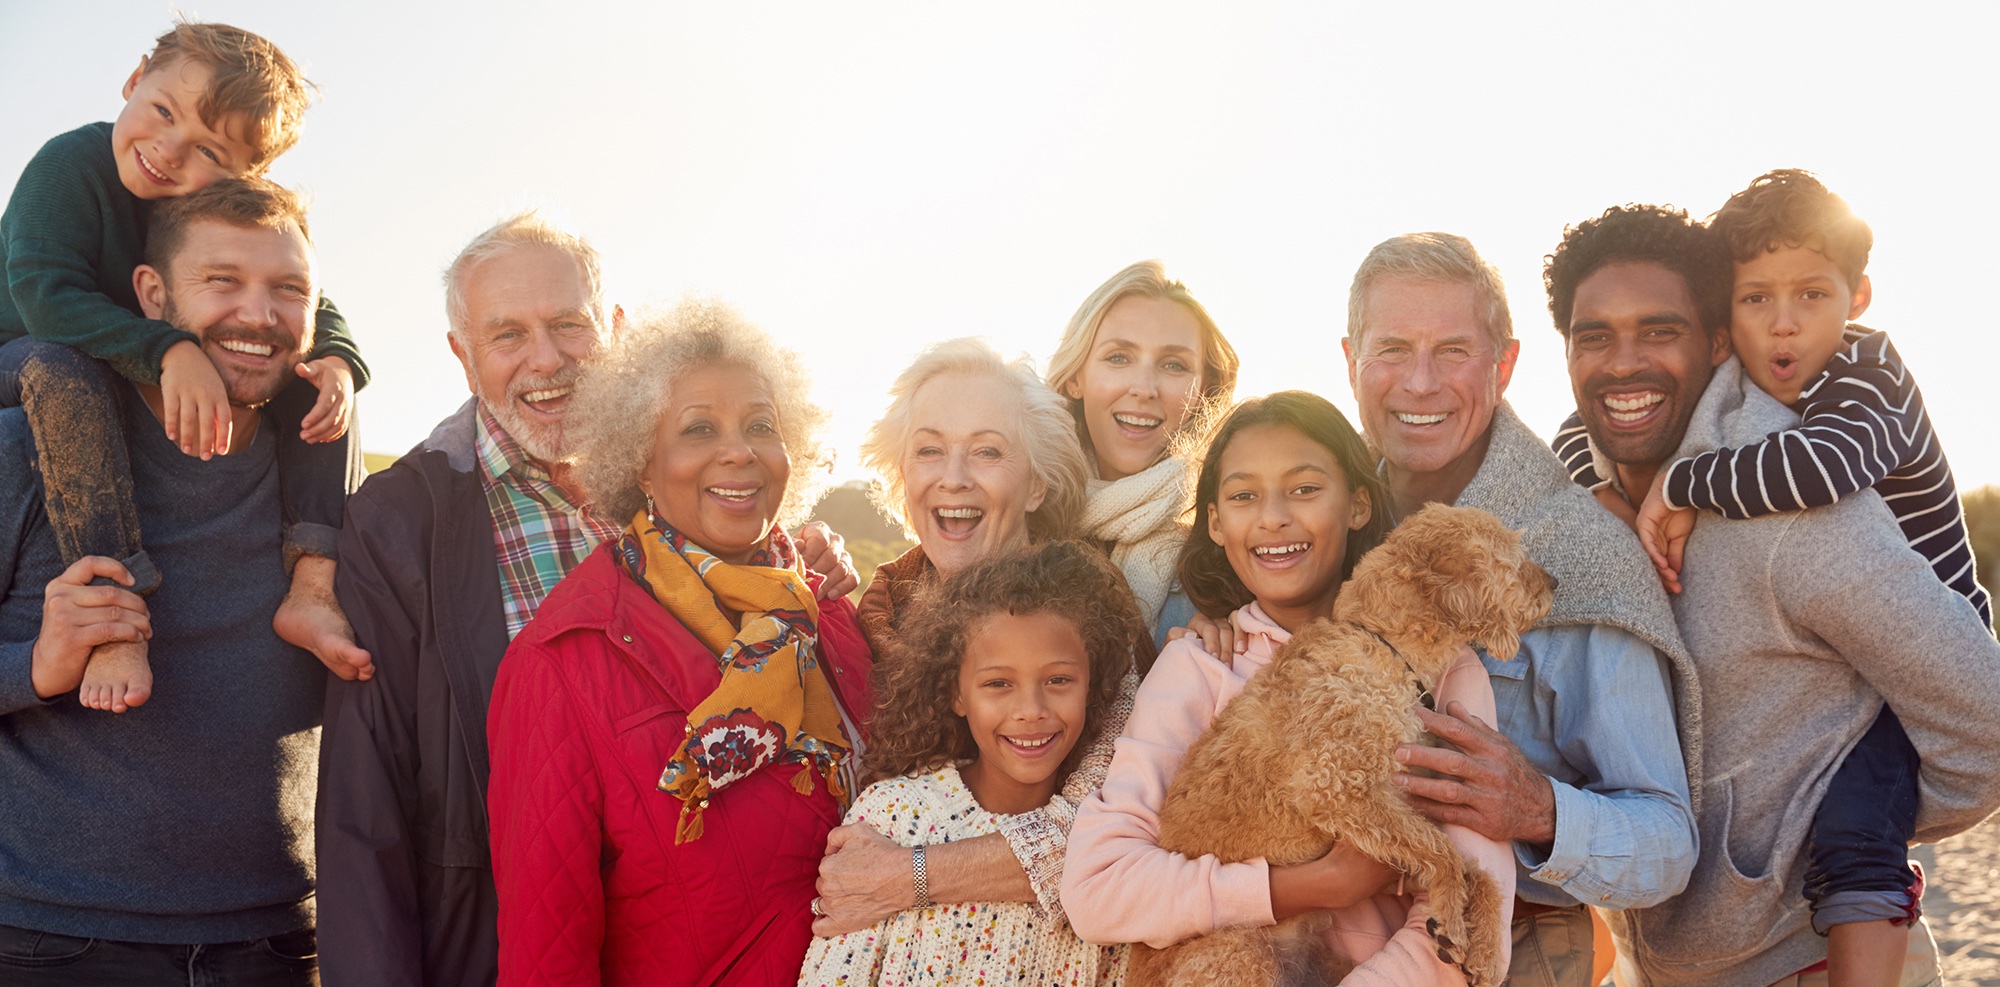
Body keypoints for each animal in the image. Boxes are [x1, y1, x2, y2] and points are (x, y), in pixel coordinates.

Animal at [1136, 505, 1552, 983]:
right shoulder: (1337, 788)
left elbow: (1476, 871)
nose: (1555, 583)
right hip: (1243, 953)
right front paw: (1451, 920)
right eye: (1514, 561)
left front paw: (1483, 950)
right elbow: (1445, 853)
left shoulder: (1401, 805)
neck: (1382, 648)